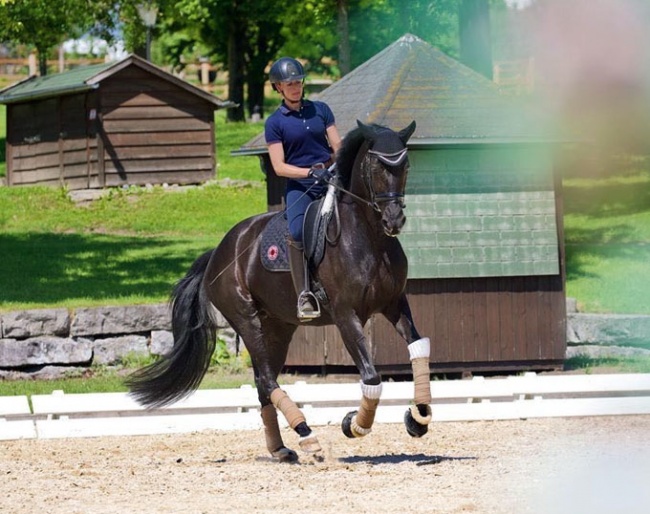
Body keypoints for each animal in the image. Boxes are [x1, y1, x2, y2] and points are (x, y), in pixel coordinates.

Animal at [126, 119, 430, 460]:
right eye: (376, 165)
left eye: (405, 165)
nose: (394, 220)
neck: (369, 237)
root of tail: (219, 251)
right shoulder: (345, 315)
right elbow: (372, 376)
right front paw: (354, 424)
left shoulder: (394, 304)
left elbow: (419, 350)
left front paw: (418, 418)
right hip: (247, 320)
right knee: (267, 379)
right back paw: (307, 435)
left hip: (279, 326)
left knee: (263, 382)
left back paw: (281, 448)